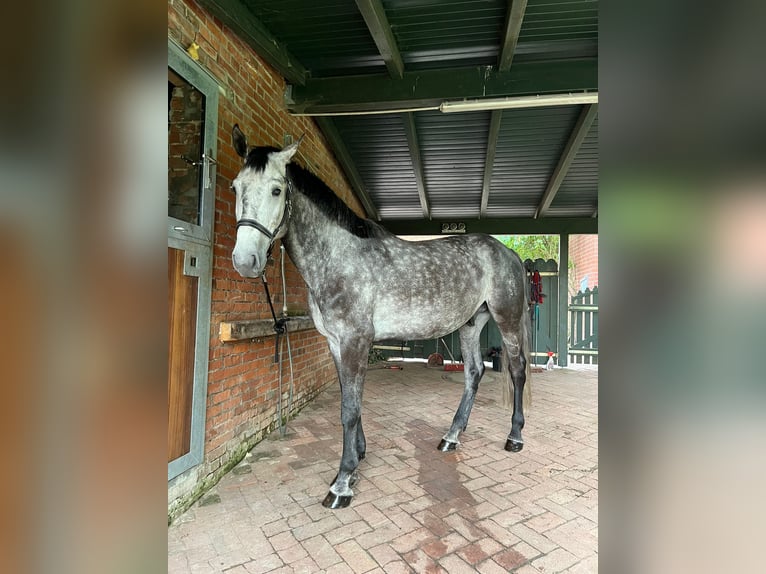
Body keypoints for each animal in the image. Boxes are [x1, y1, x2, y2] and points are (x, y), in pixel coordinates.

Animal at [231, 125, 532, 508]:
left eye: (276, 189)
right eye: (235, 187)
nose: (246, 260)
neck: (339, 256)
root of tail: (507, 251)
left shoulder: (355, 340)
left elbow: (349, 409)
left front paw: (342, 482)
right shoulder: (336, 343)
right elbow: (351, 401)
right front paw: (358, 457)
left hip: (507, 319)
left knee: (518, 369)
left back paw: (515, 436)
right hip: (470, 324)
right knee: (474, 373)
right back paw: (451, 436)